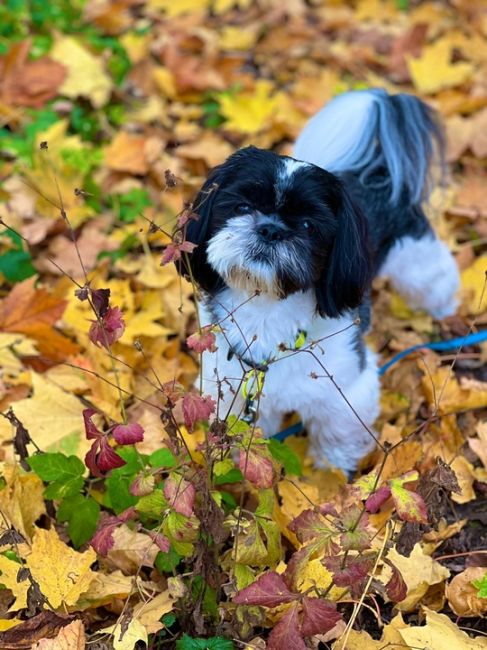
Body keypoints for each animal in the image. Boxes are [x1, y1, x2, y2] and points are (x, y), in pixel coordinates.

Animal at [177, 88, 460, 470]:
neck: (267, 311)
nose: (271, 229)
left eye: (309, 226)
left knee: (436, 284)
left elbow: (337, 434)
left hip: (418, 262)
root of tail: (378, 173)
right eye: (242, 207)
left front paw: (330, 474)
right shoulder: (232, 389)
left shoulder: (347, 389)